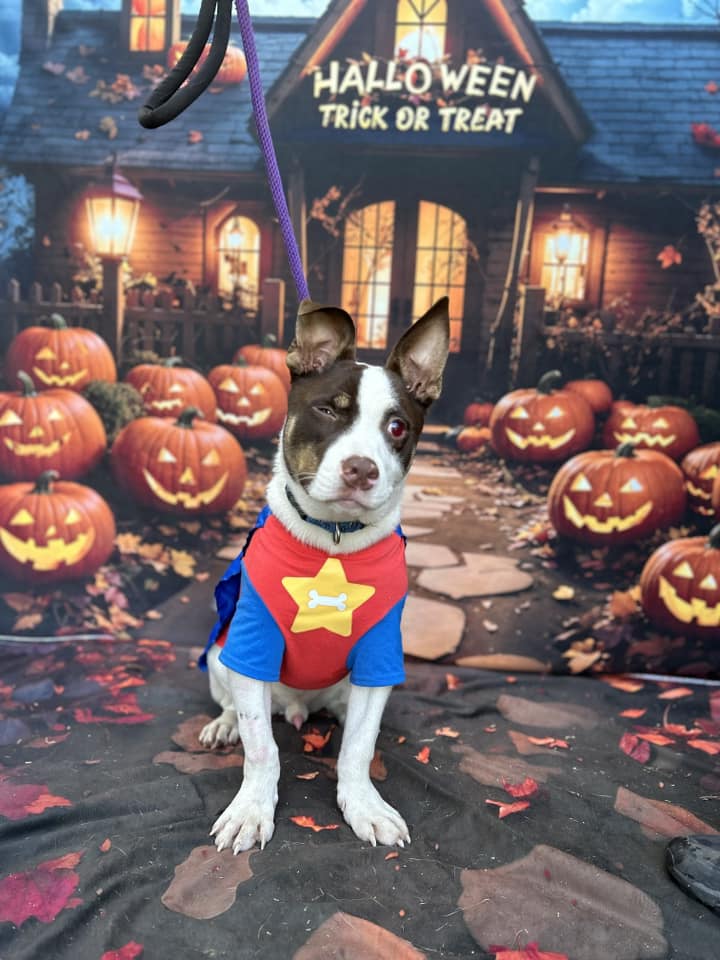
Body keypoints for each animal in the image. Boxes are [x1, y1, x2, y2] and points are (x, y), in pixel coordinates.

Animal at [200, 296, 448, 852]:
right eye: (328, 410)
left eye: (397, 427)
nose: (362, 469)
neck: (334, 540)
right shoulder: (251, 643)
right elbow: (261, 748)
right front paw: (252, 809)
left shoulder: (379, 654)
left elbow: (358, 746)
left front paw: (363, 805)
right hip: (221, 656)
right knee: (237, 707)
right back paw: (225, 725)